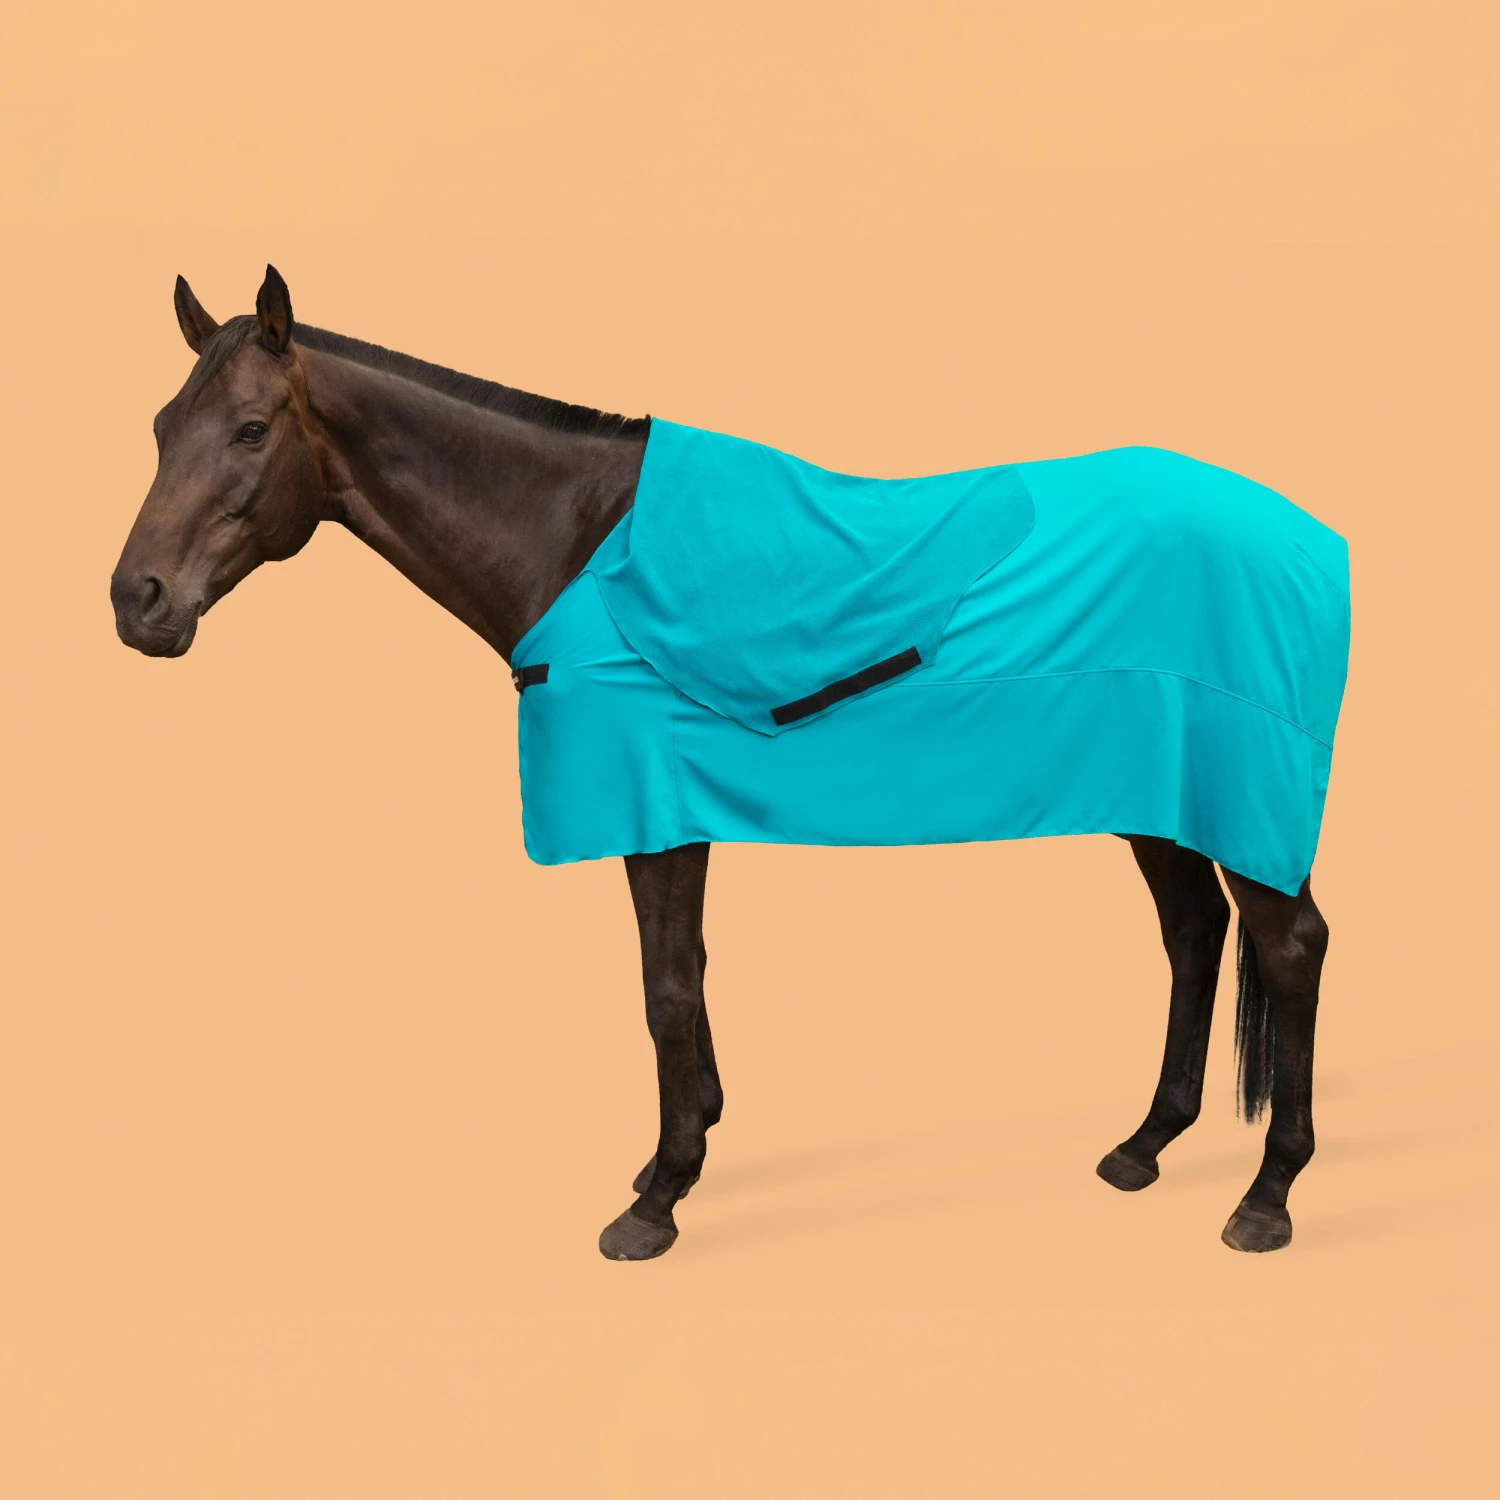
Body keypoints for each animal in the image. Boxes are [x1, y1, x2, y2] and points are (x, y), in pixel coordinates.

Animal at [112, 266, 1336, 1260]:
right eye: (166, 424)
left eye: (252, 430)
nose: (137, 601)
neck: (580, 544)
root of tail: (1309, 539)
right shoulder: (671, 810)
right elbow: (686, 981)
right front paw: (682, 1149)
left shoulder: (647, 806)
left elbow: (664, 989)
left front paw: (657, 1199)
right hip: (1160, 795)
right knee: (1195, 934)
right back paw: (1146, 1144)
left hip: (1240, 800)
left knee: (1288, 946)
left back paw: (1268, 1196)